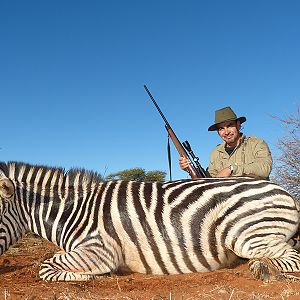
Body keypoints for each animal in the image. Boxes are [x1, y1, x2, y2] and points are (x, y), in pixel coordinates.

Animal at [0, 162, 298, 282]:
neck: (73, 210)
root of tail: (284, 191)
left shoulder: (99, 250)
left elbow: (45, 267)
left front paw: (95, 276)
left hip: (247, 236)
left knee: (289, 257)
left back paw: (263, 269)